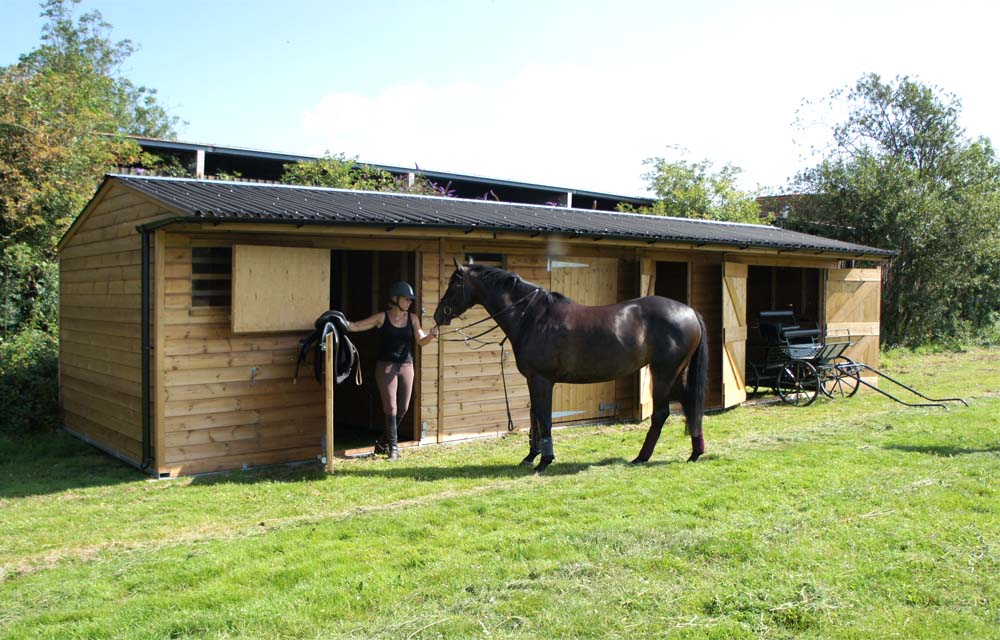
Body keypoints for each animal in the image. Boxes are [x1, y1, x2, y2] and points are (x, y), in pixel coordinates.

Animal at [434, 262, 708, 472]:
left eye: (455, 283)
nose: (438, 314)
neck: (532, 316)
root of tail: (690, 311)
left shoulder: (542, 380)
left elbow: (544, 418)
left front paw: (544, 461)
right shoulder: (533, 380)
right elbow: (535, 416)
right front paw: (531, 456)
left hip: (663, 374)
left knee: (661, 414)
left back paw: (642, 457)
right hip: (676, 374)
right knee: (689, 404)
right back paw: (695, 453)